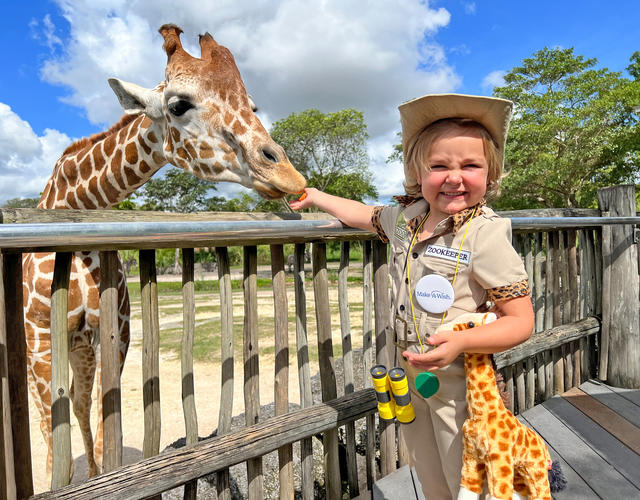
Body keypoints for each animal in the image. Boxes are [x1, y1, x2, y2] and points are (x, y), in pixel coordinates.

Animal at [23, 24, 306, 484]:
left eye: (253, 105)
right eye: (178, 105)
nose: (286, 173)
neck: (73, 203)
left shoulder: (113, 333)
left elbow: (101, 419)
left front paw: (99, 476)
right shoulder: (39, 338)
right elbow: (52, 425)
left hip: (80, 344)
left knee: (79, 404)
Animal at [438, 312, 564, 500]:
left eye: (470, 324)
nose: (439, 330)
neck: (481, 413)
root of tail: (546, 451)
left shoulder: (499, 461)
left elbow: (499, 494)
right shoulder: (471, 457)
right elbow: (467, 489)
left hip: (536, 470)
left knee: (542, 494)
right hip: (519, 475)